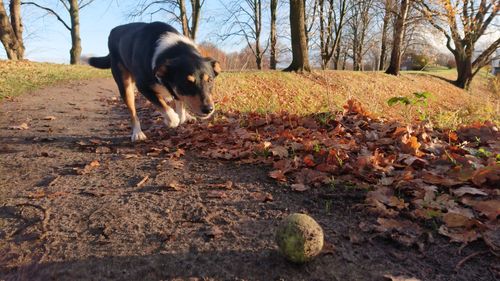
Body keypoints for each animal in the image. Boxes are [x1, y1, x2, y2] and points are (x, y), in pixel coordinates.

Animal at [88, 21, 221, 141]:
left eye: (210, 80)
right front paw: (172, 120)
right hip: (125, 85)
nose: (208, 109)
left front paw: (184, 115)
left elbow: (179, 105)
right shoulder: (143, 87)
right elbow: (167, 110)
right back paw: (137, 133)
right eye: (187, 82)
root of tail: (114, 30)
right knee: (133, 112)